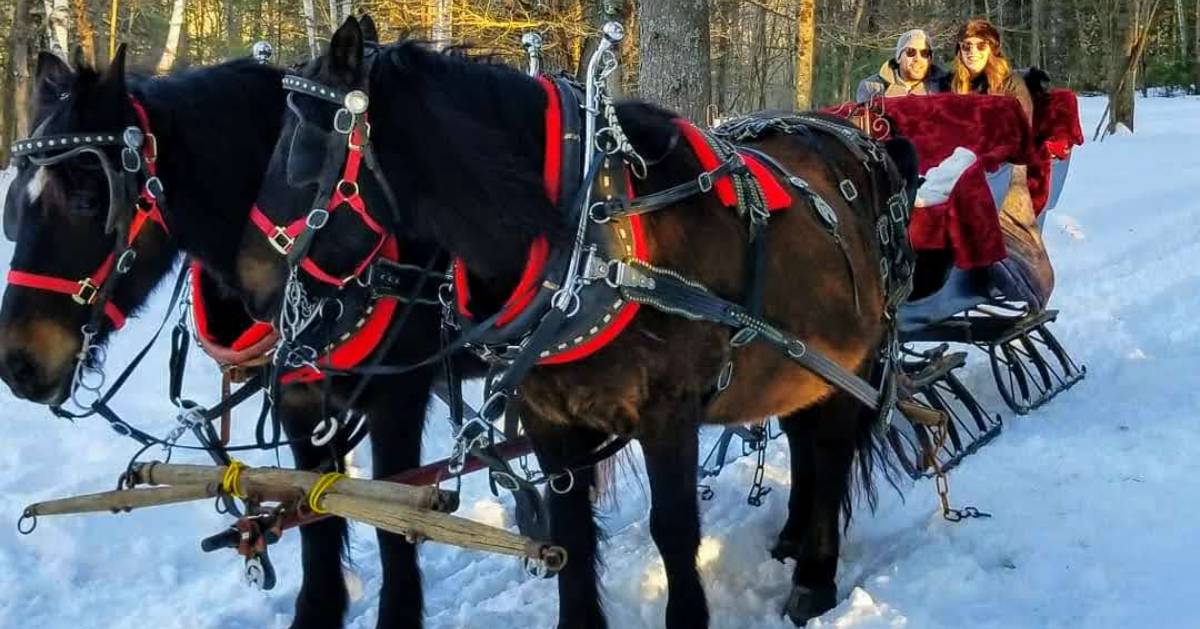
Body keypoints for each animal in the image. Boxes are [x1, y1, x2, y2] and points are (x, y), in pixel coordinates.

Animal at [0, 40, 441, 629]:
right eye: (14, 208)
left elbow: (395, 521)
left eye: (87, 200)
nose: (17, 363)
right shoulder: (299, 402)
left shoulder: (399, 397)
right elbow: (319, 516)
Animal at [238, 19, 916, 629]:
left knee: (828, 452)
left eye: (298, 153)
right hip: (800, 364)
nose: (250, 291)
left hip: (853, 360)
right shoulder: (550, 419)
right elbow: (571, 538)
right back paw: (794, 540)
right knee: (803, 438)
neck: (589, 239)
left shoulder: (668, 413)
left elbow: (673, 530)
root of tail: (857, 141)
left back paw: (814, 579)